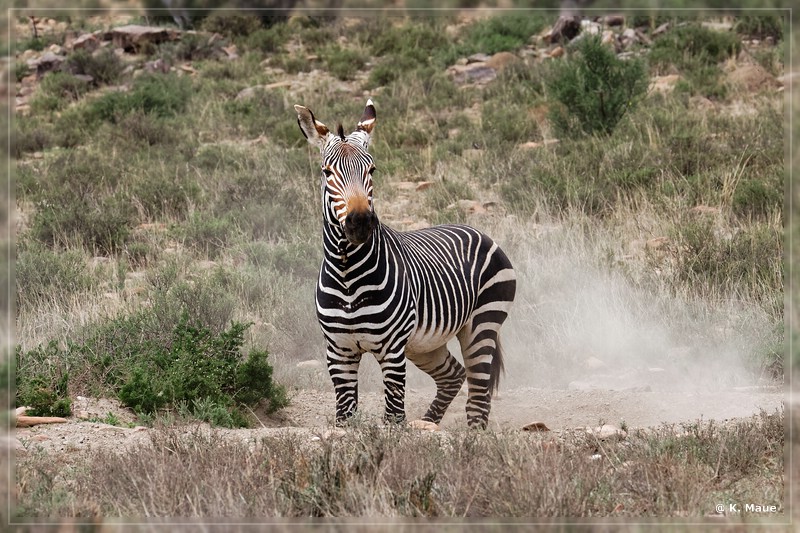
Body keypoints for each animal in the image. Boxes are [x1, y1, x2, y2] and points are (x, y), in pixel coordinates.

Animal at [296, 100, 520, 430]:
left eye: (372, 169)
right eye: (327, 172)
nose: (360, 223)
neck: (348, 274)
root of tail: (476, 229)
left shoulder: (392, 349)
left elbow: (393, 417)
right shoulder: (338, 351)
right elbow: (345, 416)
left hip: (482, 324)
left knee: (478, 399)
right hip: (425, 344)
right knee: (453, 375)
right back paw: (428, 424)